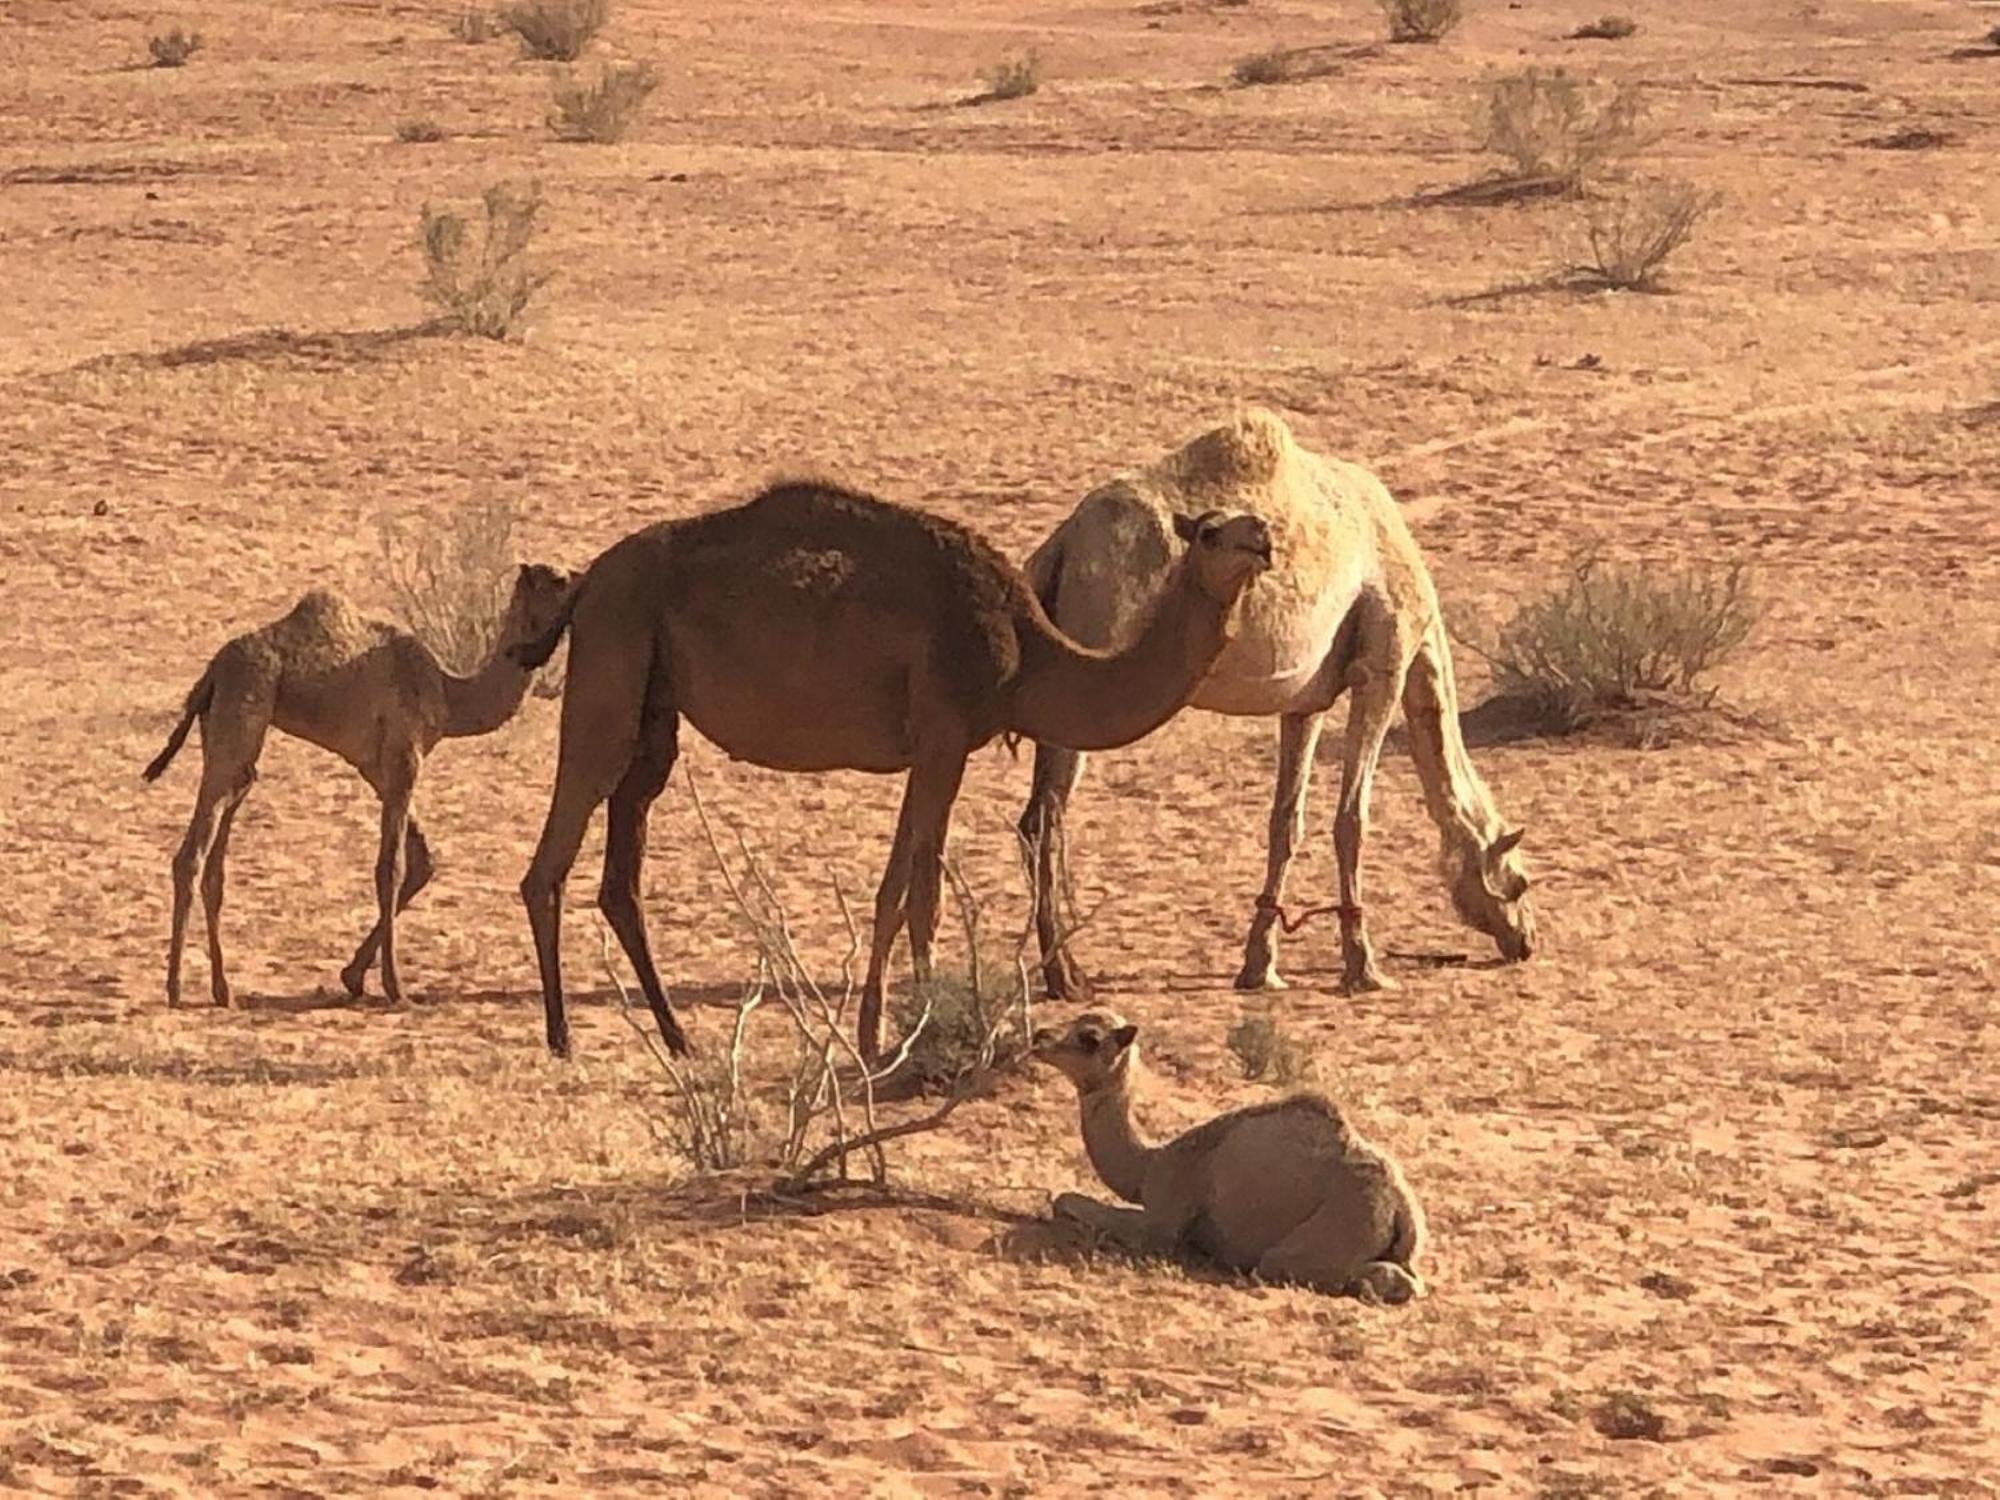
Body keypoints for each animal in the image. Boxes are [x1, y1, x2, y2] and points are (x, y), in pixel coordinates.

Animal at [146, 564, 572, 1012]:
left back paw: (222, 990)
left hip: (227, 733)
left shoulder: (377, 769)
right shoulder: (405, 759)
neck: (450, 693)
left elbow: (423, 861)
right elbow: (391, 868)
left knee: (218, 847)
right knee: (191, 854)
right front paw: (395, 987)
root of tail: (212, 671)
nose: (582, 582)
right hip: (242, 713)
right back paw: (175, 988)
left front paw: (353, 976)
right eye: (558, 580)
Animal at [508, 484, 1272, 1072]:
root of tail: (586, 582)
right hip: (613, 652)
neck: (1026, 652)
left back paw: (676, 1035)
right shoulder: (946, 736)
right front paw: (930, 1031)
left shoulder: (930, 747)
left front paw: (872, 1034)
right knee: (554, 851)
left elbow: (891, 892)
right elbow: (925, 895)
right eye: (1210, 532)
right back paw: (563, 1037)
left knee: (622, 870)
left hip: (655, 704)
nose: (1262, 539)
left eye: (1254, 519)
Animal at [1024, 406, 1536, 1004]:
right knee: (1047, 818)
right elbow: (1351, 820)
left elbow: (1285, 822)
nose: (1526, 941)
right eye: (1518, 881)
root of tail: (1061, 546)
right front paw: (1363, 967)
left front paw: (1259, 966)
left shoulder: (1306, 700)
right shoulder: (1384, 665)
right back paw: (1066, 976)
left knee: (1035, 815)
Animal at [1032, 1012, 1424, 1312]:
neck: (1148, 1167)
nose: (1039, 1035)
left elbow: (1069, 1201)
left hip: (1332, 1228)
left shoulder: (1162, 1223)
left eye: (1090, 1037)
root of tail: (1400, 1209)